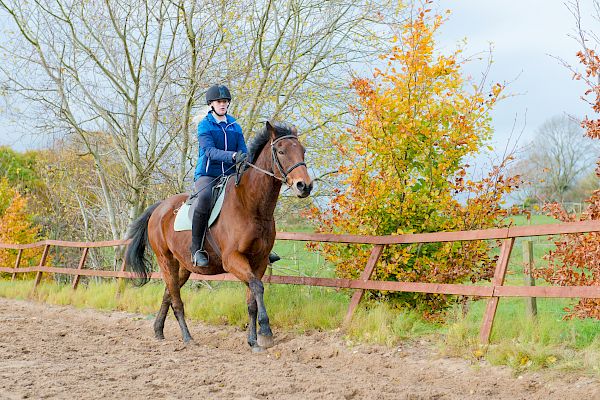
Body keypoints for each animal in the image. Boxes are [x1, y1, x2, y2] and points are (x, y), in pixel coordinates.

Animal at [126, 121, 314, 350]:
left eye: (302, 151)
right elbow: (258, 287)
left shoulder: (259, 261)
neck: (251, 205)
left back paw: (158, 331)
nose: (304, 186)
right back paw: (187, 337)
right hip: (166, 260)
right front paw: (266, 333)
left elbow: (252, 299)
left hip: (183, 266)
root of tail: (160, 208)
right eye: (281, 151)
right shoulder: (232, 259)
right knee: (176, 299)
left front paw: (253, 340)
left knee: (168, 293)